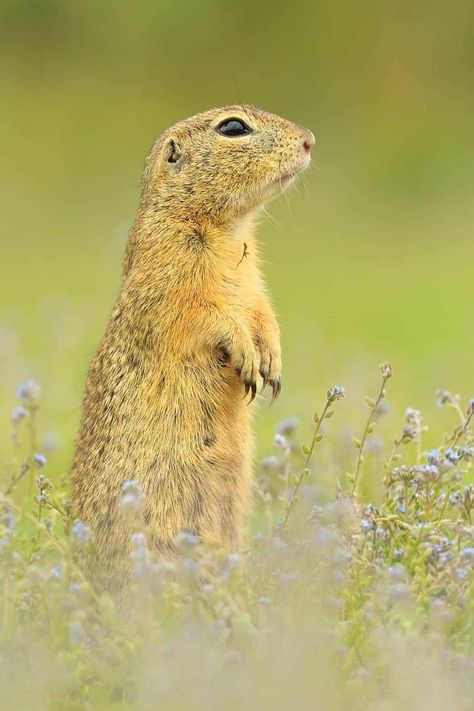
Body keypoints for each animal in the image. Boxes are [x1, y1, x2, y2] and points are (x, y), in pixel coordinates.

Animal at [70, 104, 314, 588]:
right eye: (233, 127)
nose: (309, 140)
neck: (226, 228)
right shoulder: (172, 275)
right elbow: (206, 316)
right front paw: (247, 356)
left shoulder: (254, 283)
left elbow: (263, 312)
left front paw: (272, 360)